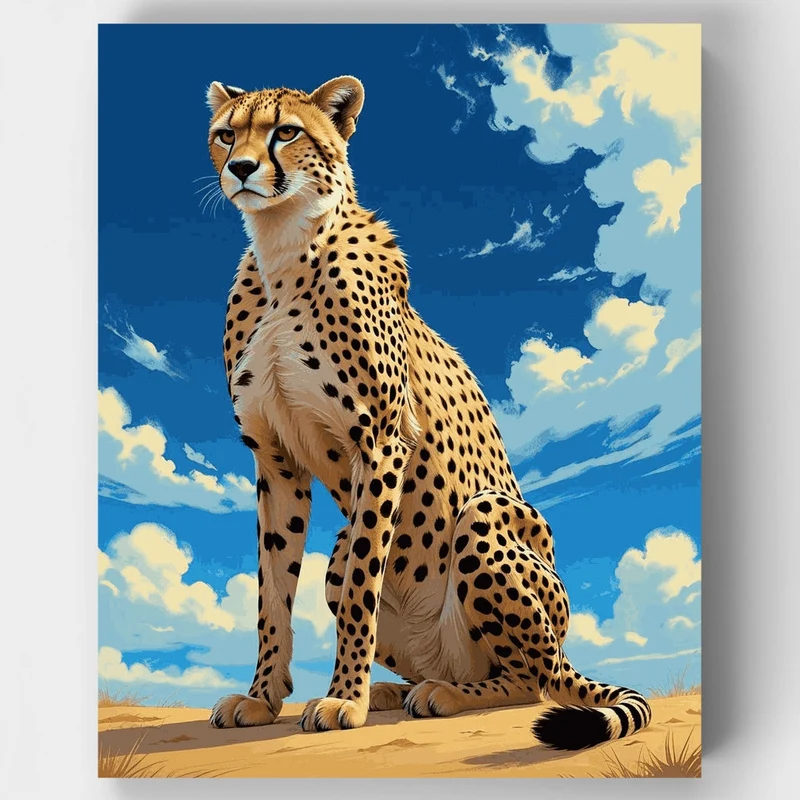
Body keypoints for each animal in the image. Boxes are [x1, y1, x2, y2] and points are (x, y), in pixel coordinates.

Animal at [204, 76, 651, 750]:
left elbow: (363, 585)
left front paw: (344, 699)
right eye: (227, 134)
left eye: (286, 132)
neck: (283, 249)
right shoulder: (275, 460)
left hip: (487, 520)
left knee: (532, 679)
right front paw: (261, 696)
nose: (241, 168)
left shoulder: (383, 440)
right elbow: (271, 592)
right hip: (343, 553)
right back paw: (400, 689)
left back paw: (442, 695)